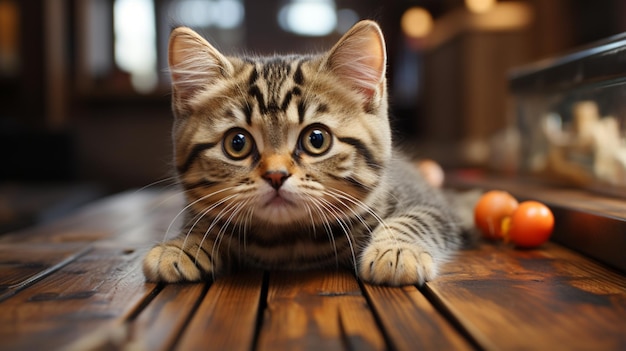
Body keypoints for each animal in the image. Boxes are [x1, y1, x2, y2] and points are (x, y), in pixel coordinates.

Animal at [143, 20, 468, 286]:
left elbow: (418, 219)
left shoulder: (435, 205)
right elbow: (205, 223)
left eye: (316, 139)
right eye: (237, 143)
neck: (289, 244)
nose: (276, 175)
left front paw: (396, 250)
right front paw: (182, 245)